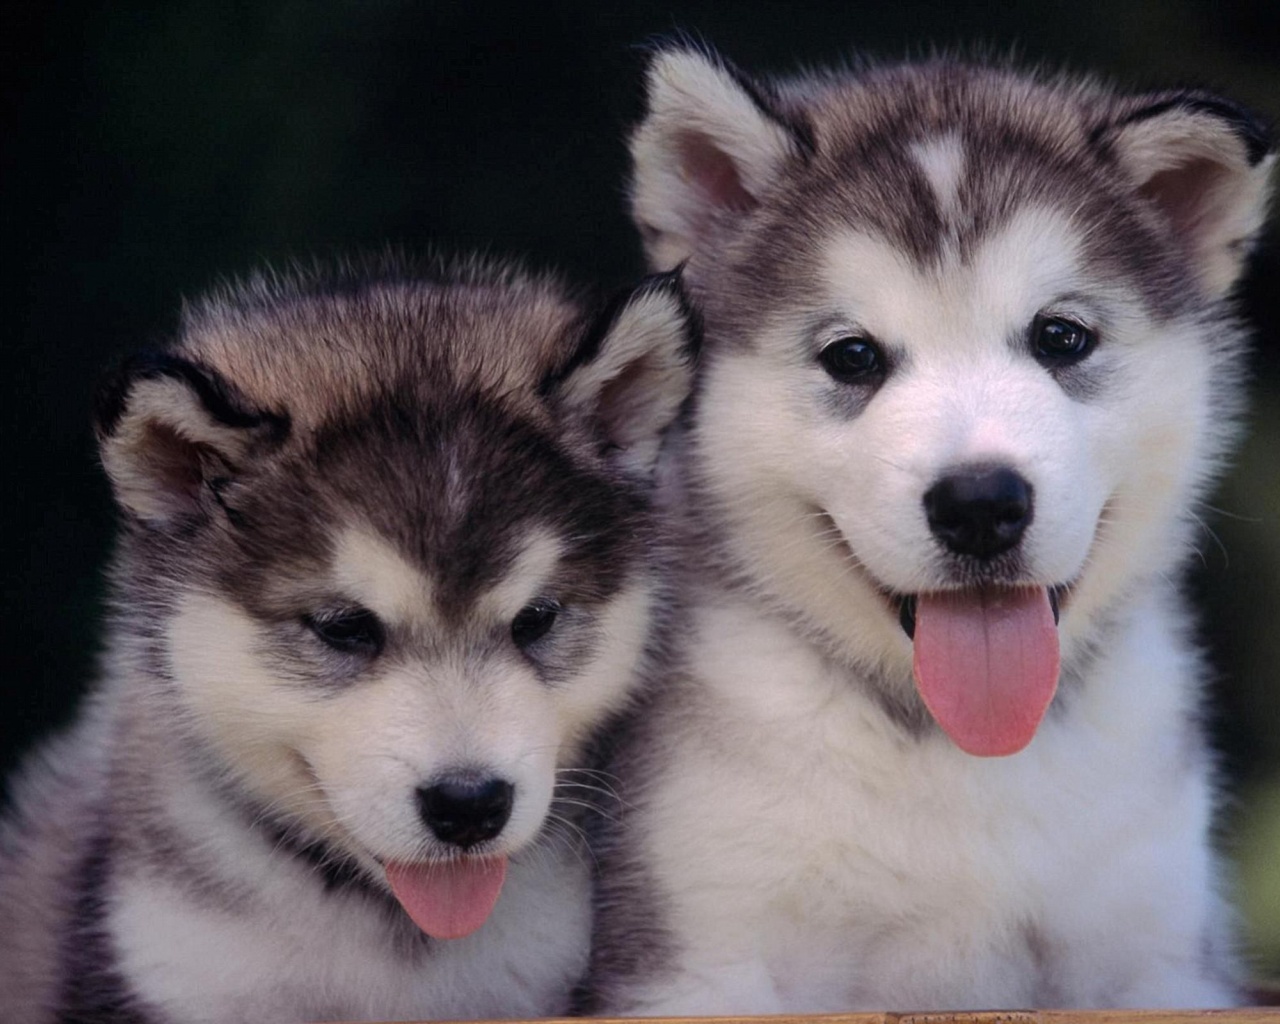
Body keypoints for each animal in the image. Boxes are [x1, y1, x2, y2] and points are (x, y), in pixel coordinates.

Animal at [586, 44, 1274, 1013]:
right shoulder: (696, 955)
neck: (959, 752)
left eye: (1062, 337)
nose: (980, 504)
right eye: (852, 356)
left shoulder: (1161, 958)